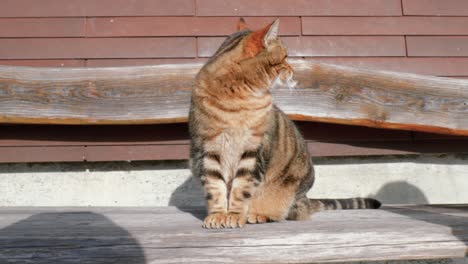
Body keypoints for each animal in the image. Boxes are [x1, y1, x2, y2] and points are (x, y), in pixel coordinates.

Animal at [187, 18, 380, 229]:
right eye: (285, 57)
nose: (293, 70)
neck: (237, 98)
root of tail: (306, 198)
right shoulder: (208, 148)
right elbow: (215, 188)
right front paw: (218, 215)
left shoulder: (253, 150)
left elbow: (242, 188)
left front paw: (235, 215)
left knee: (291, 212)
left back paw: (259, 214)